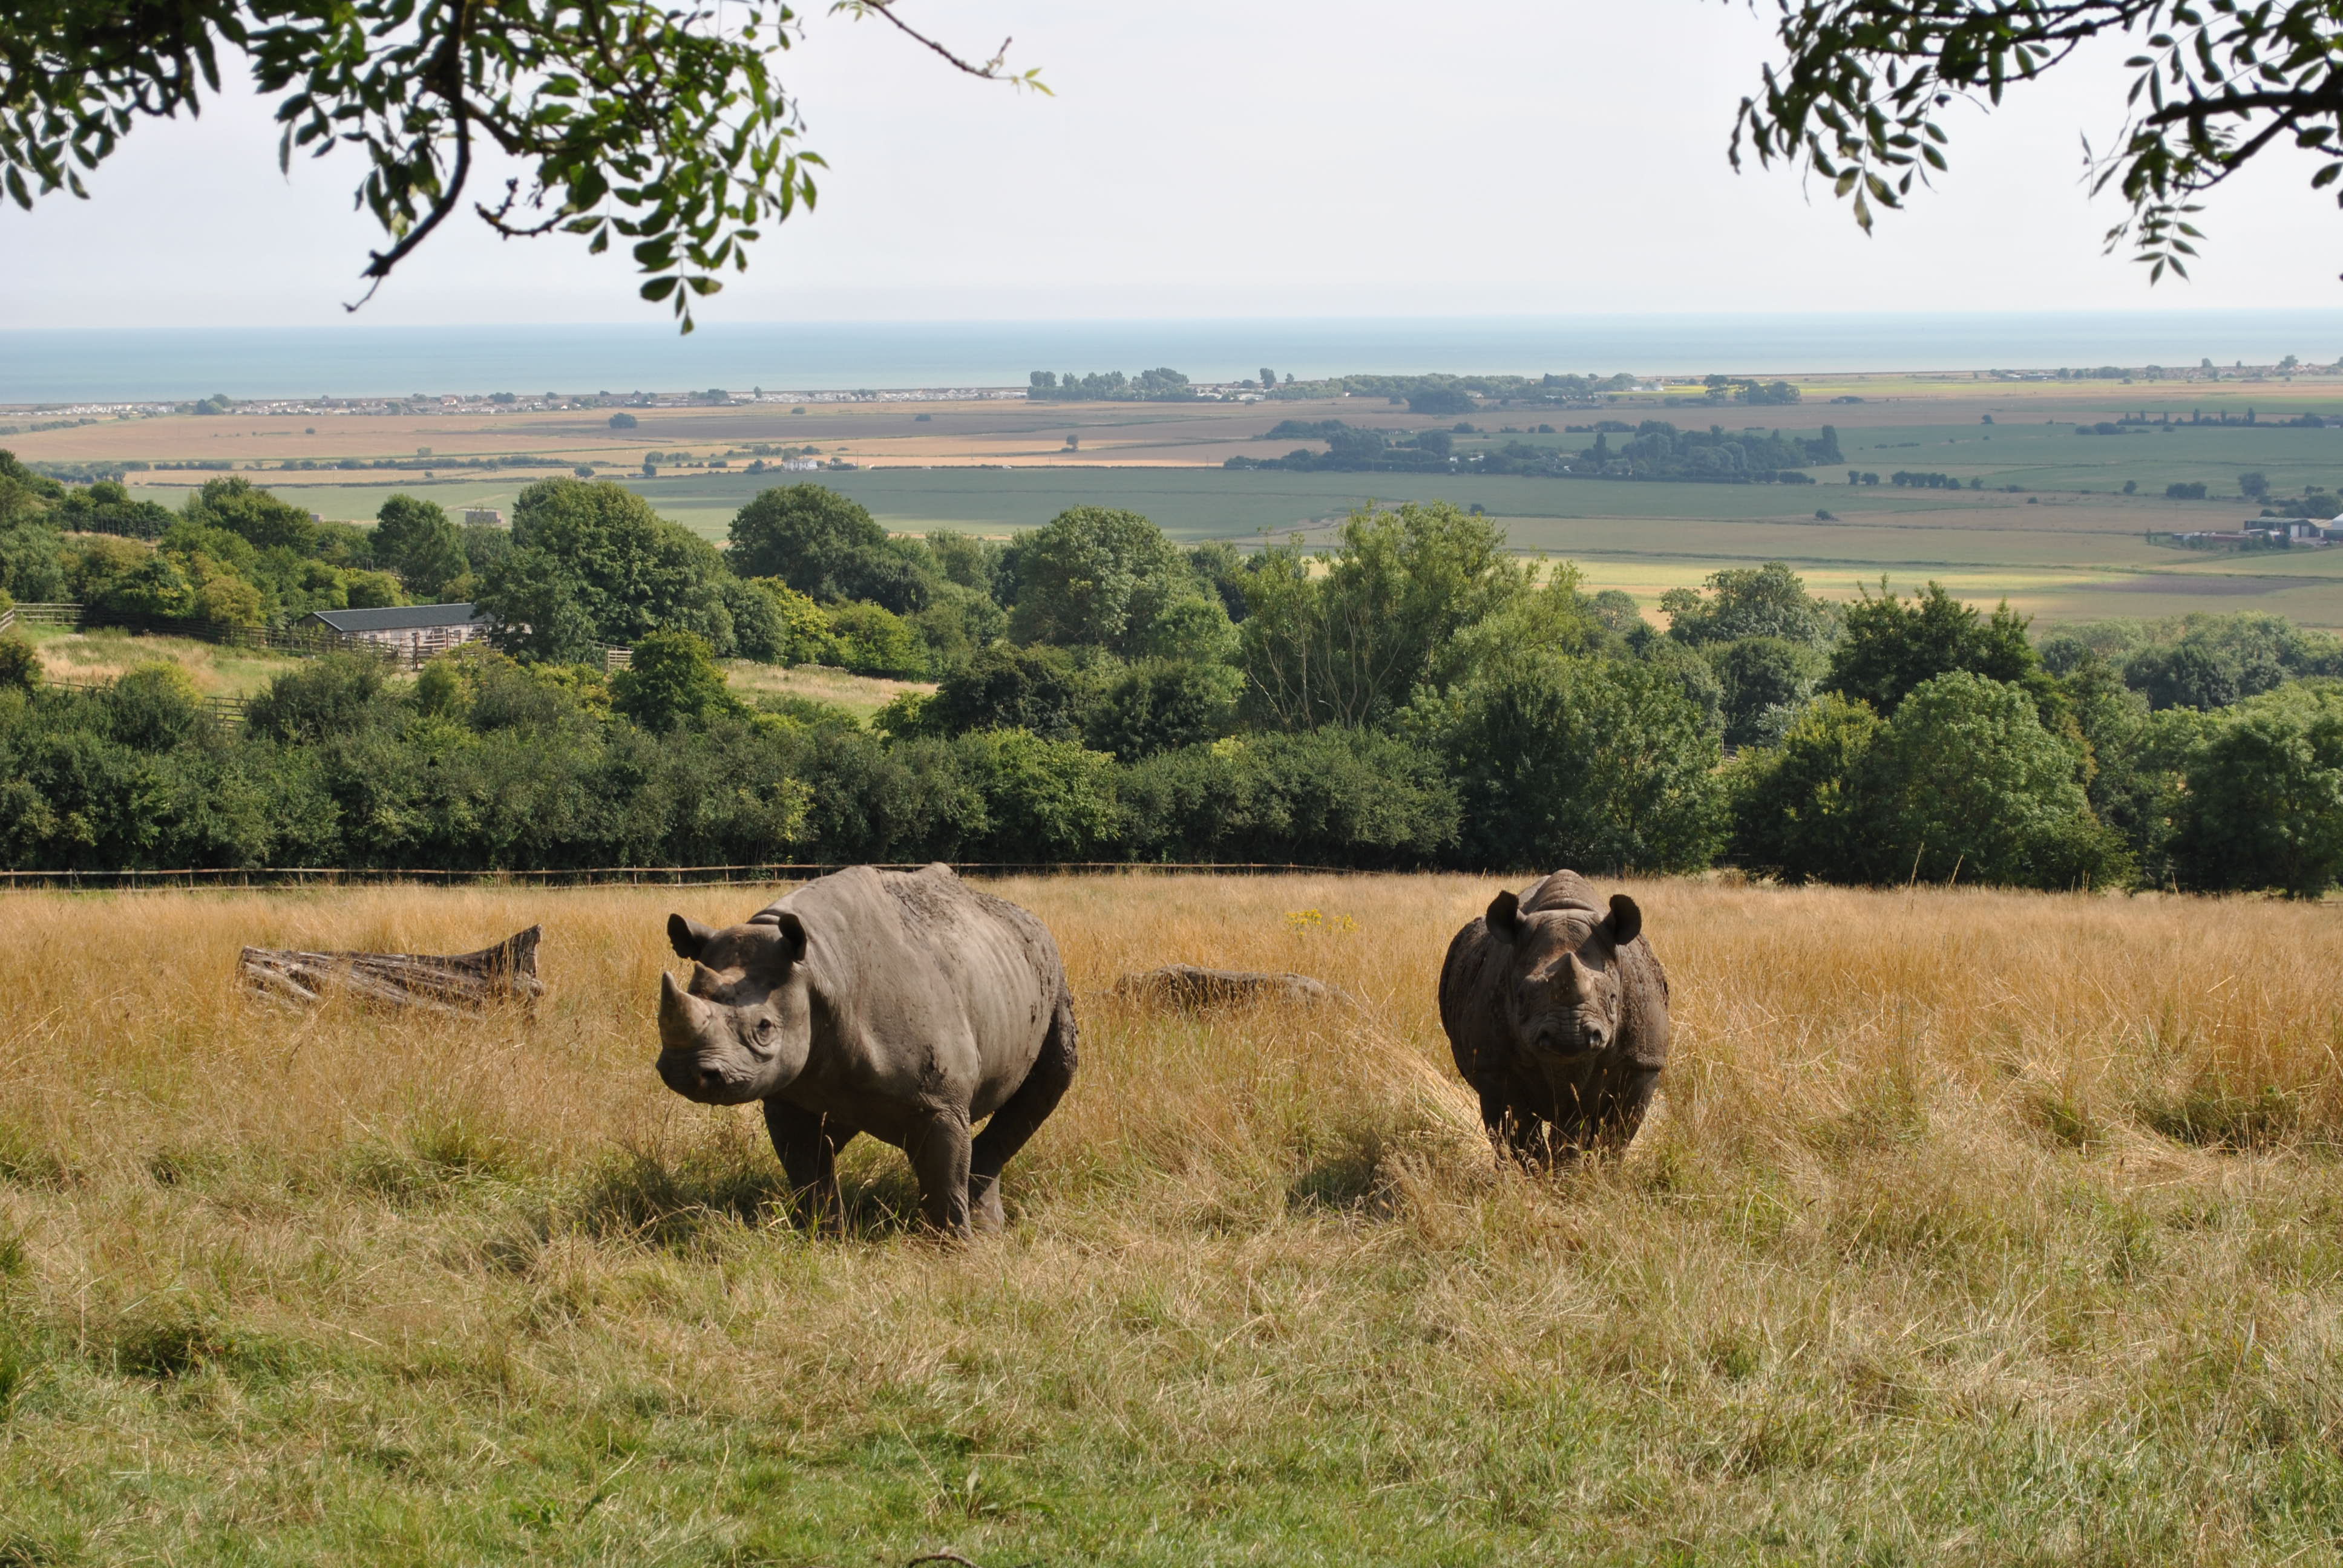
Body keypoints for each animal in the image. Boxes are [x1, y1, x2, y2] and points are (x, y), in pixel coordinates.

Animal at [655, 863, 1077, 1237]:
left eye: (764, 1028)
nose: (684, 1072)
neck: (818, 968)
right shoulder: (790, 1095)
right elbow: (809, 1173)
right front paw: (825, 1237)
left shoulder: (940, 1101)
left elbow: (945, 1177)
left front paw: (956, 1250)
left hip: (1053, 974)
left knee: (1054, 1077)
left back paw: (985, 1233)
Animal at [1438, 869, 1670, 1164]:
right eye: (1521, 998)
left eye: (1613, 999)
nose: (1570, 1037)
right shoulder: (1494, 1065)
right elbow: (1519, 1135)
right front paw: (1537, 1173)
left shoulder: (1641, 1063)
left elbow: (1615, 1136)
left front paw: (1594, 1172)